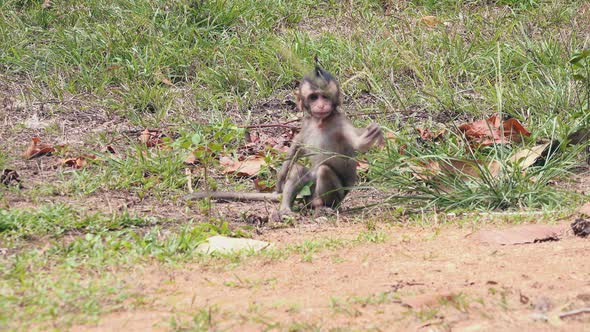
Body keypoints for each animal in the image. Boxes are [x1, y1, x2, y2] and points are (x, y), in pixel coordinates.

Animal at [187, 66, 386, 219]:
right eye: (314, 97)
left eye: (325, 97)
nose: (321, 105)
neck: (322, 122)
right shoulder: (307, 123)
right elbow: (297, 148)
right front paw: (280, 180)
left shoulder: (341, 123)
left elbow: (357, 144)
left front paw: (371, 135)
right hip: (307, 193)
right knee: (299, 169)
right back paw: (286, 208)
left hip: (338, 196)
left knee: (323, 171)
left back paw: (321, 206)